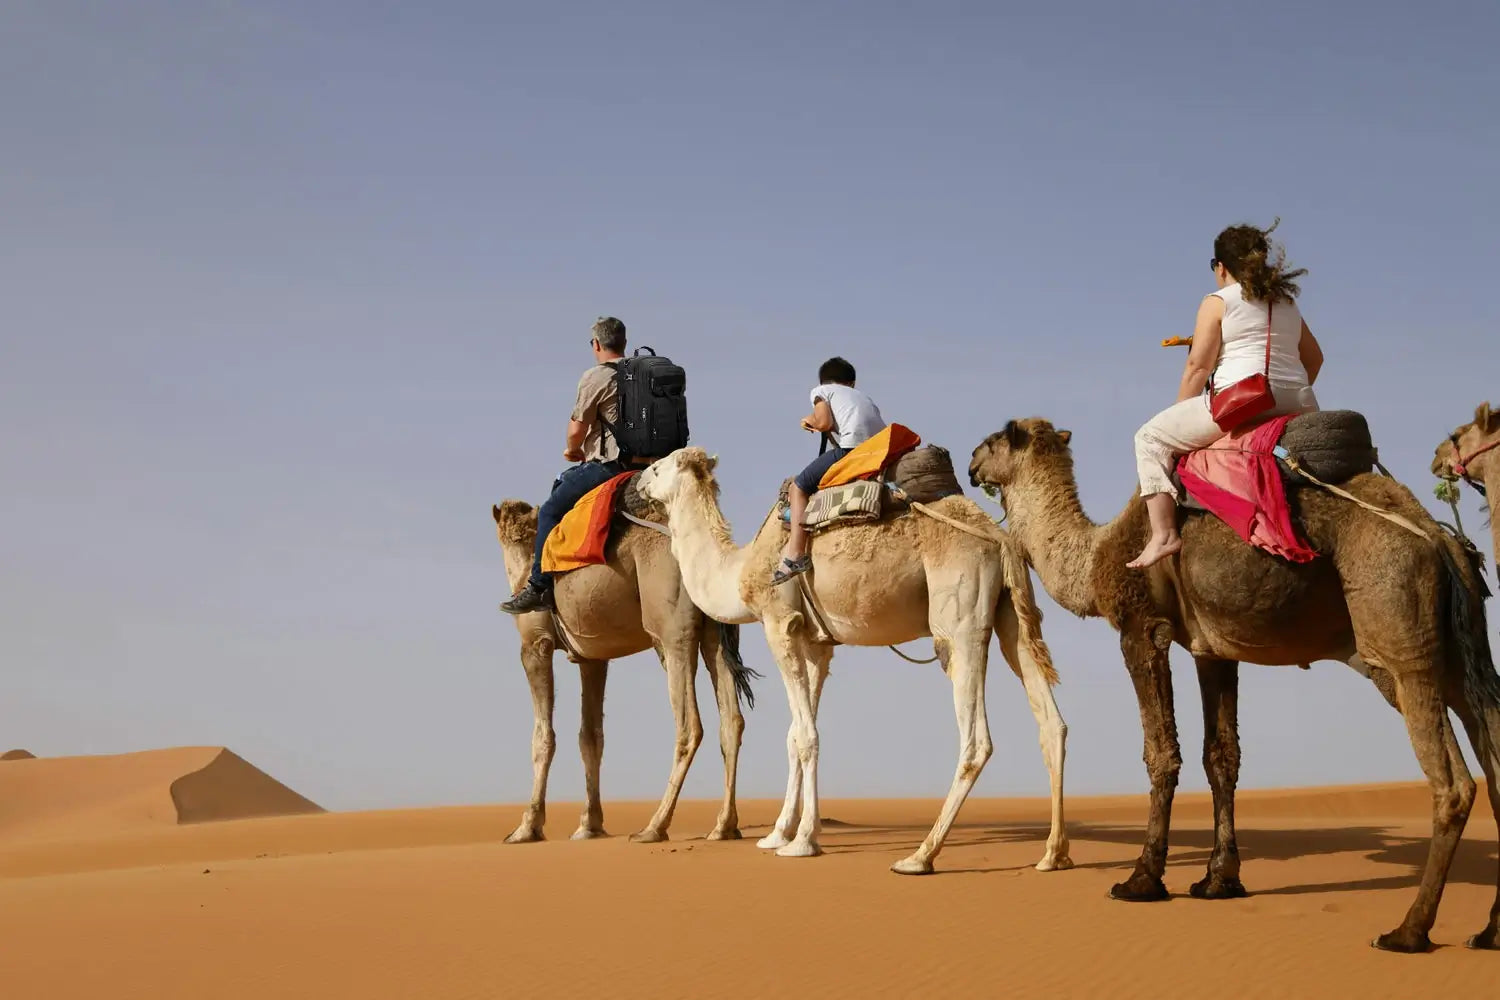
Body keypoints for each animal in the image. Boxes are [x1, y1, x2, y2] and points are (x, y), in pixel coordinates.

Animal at [491, 494, 756, 843]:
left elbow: (543, 737)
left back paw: (654, 826)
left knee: (690, 725)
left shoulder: (536, 645)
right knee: (732, 721)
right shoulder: (592, 657)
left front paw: (526, 827)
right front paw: (589, 825)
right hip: (716, 628)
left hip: (671, 632)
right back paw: (724, 825)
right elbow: (590, 737)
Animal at [636, 447, 1073, 874]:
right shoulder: (816, 644)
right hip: (1010, 614)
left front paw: (803, 842)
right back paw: (1054, 853)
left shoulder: (780, 623)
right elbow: (795, 735)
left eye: (658, 467)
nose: (638, 483)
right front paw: (777, 834)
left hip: (959, 618)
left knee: (976, 740)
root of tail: (999, 538)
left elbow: (807, 737)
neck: (741, 568)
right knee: (1052, 723)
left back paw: (920, 856)